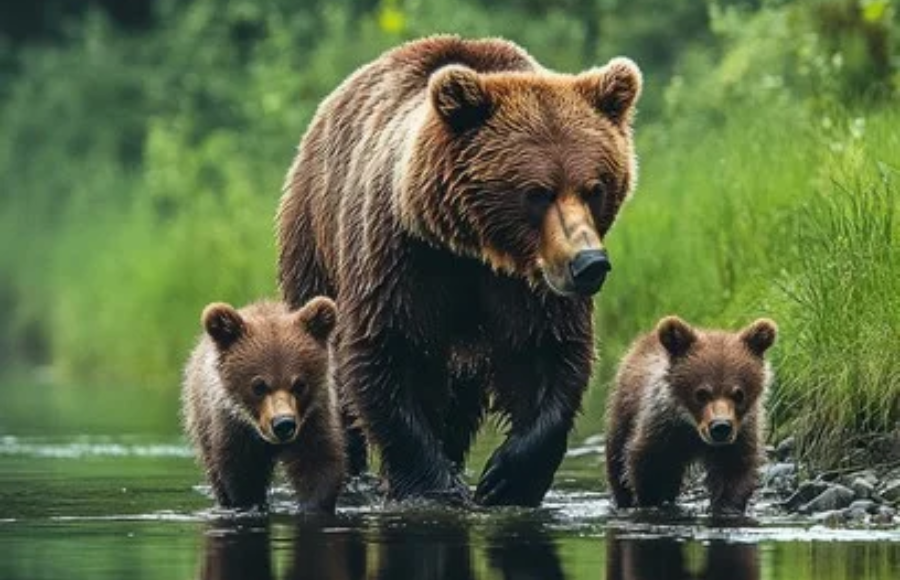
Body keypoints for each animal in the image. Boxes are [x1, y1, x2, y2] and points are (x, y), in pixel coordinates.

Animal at [182, 297, 345, 513]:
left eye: (300, 384)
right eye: (258, 385)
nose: (283, 424)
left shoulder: (314, 419)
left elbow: (318, 465)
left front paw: (314, 504)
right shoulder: (233, 426)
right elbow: (242, 475)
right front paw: (249, 502)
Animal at [277, 35, 642, 506]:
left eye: (594, 188)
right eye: (537, 192)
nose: (588, 264)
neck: (474, 250)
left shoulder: (529, 287)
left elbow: (551, 357)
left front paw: (506, 477)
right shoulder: (402, 261)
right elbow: (384, 355)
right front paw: (434, 485)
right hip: (315, 241)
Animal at [605, 315, 778, 514]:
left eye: (738, 394)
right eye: (701, 393)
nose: (720, 427)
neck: (691, 428)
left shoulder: (740, 434)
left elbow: (734, 470)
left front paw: (727, 506)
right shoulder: (662, 429)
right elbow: (648, 467)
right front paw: (651, 501)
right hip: (624, 409)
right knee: (617, 457)